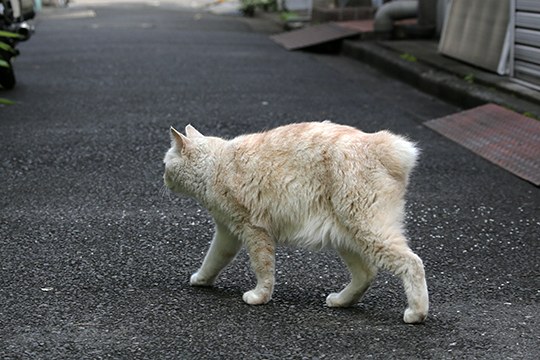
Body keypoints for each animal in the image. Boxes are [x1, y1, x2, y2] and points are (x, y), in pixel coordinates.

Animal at [162, 121, 428, 324]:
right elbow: (213, 259)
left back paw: (417, 313)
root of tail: (383, 144)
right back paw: (341, 301)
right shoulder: (227, 233)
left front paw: (260, 297)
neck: (215, 164)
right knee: (366, 274)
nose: (162, 179)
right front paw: (201, 279)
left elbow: (263, 268)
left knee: (412, 263)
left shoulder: (254, 230)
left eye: (165, 164)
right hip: (347, 235)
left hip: (369, 231)